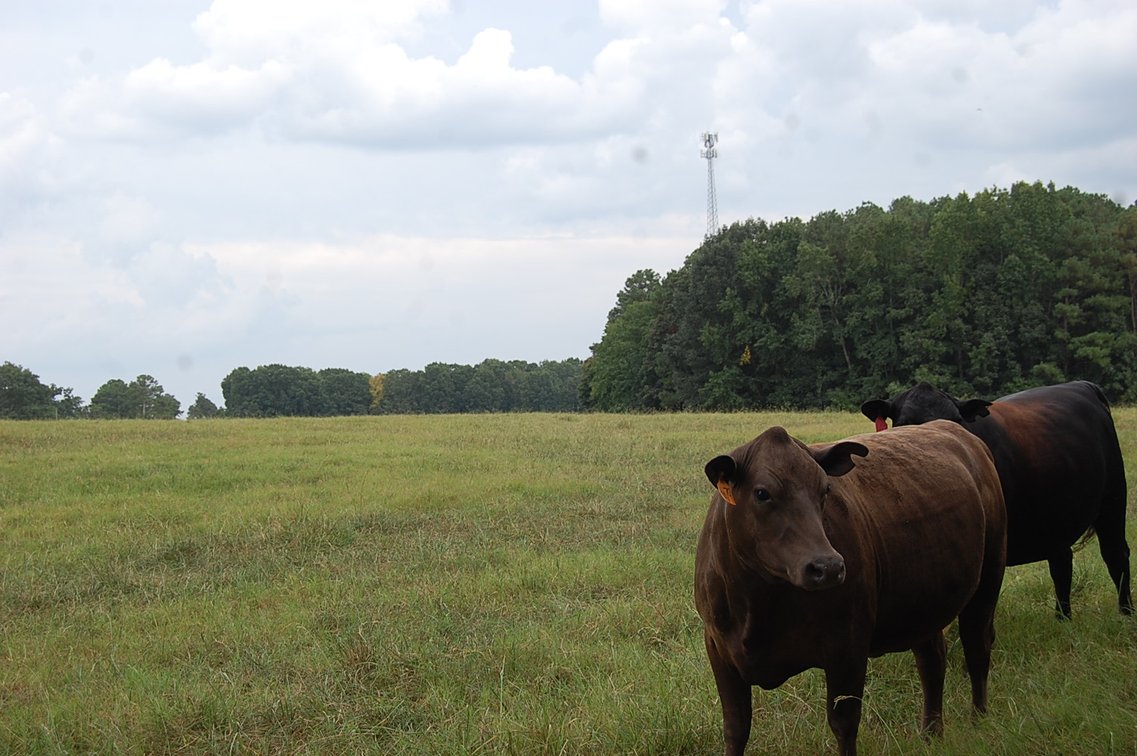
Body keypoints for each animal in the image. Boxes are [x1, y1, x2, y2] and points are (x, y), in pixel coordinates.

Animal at [695, 421, 1006, 756]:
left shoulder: (848, 646)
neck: (756, 605)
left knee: (977, 645)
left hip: (989, 577)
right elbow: (736, 727)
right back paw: (931, 734)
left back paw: (979, 719)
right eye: (762, 493)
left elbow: (844, 723)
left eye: (825, 490)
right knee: (932, 660)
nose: (828, 566)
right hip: (924, 604)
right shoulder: (718, 649)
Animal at [860, 380, 1132, 619]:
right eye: (904, 423)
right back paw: (1063, 618)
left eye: (956, 421)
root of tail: (1082, 385)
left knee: (1116, 555)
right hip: (1055, 518)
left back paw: (1125, 614)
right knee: (1061, 563)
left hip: (1113, 500)